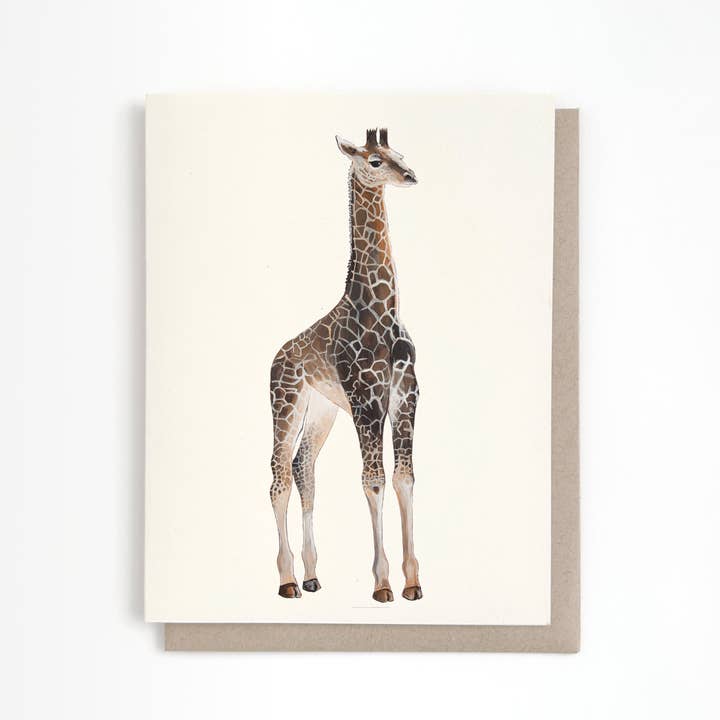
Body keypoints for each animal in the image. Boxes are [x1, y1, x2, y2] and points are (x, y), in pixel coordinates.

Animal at [269, 128, 421, 603]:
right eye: (374, 161)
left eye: (399, 153)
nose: (410, 176)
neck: (381, 310)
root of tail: (276, 358)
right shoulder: (366, 402)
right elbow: (373, 480)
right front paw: (382, 583)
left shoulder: (405, 397)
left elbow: (404, 478)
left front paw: (413, 582)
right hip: (286, 404)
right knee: (279, 475)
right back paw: (286, 581)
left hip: (321, 411)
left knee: (303, 467)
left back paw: (311, 576)